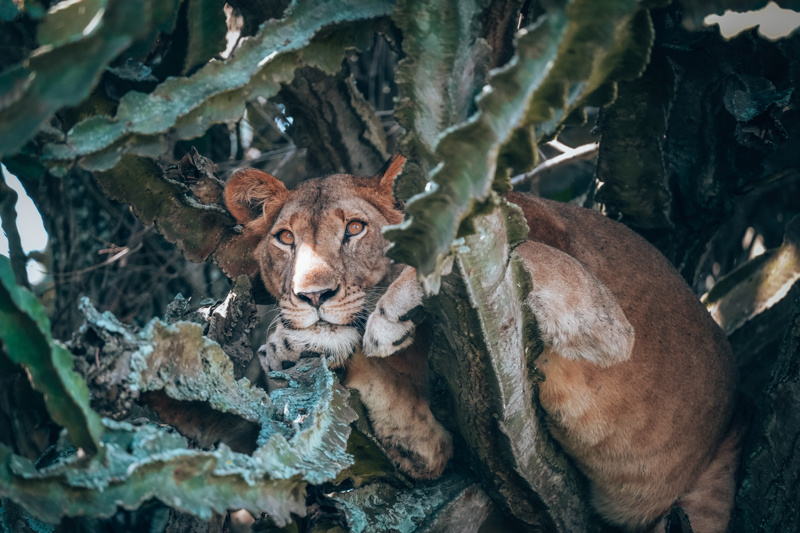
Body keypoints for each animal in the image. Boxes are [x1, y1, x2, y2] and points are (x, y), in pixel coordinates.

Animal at [225, 154, 742, 532]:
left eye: (355, 228)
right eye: (285, 238)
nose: (313, 296)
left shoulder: (604, 321)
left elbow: (486, 251)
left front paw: (385, 316)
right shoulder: (425, 442)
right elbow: (414, 433)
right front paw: (285, 347)